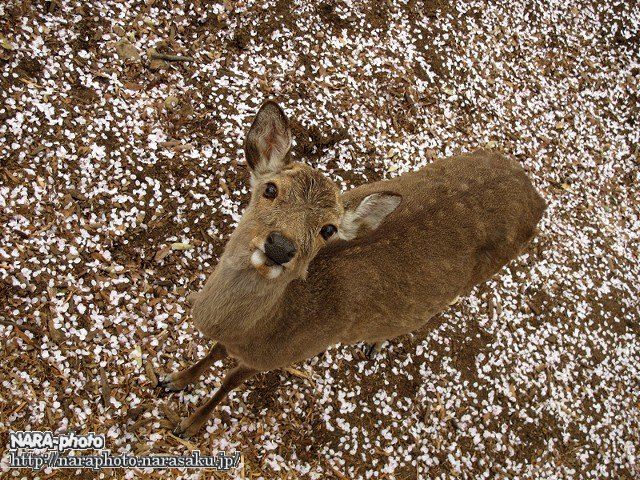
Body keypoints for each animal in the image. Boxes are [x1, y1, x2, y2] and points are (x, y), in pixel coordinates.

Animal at [159, 99, 544, 436]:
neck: (261, 329)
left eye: (328, 229)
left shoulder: (275, 357)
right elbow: (214, 351)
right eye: (270, 189)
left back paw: (375, 344)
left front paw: (189, 426)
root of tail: (536, 196)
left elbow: (227, 383)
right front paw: (173, 379)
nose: (280, 247)